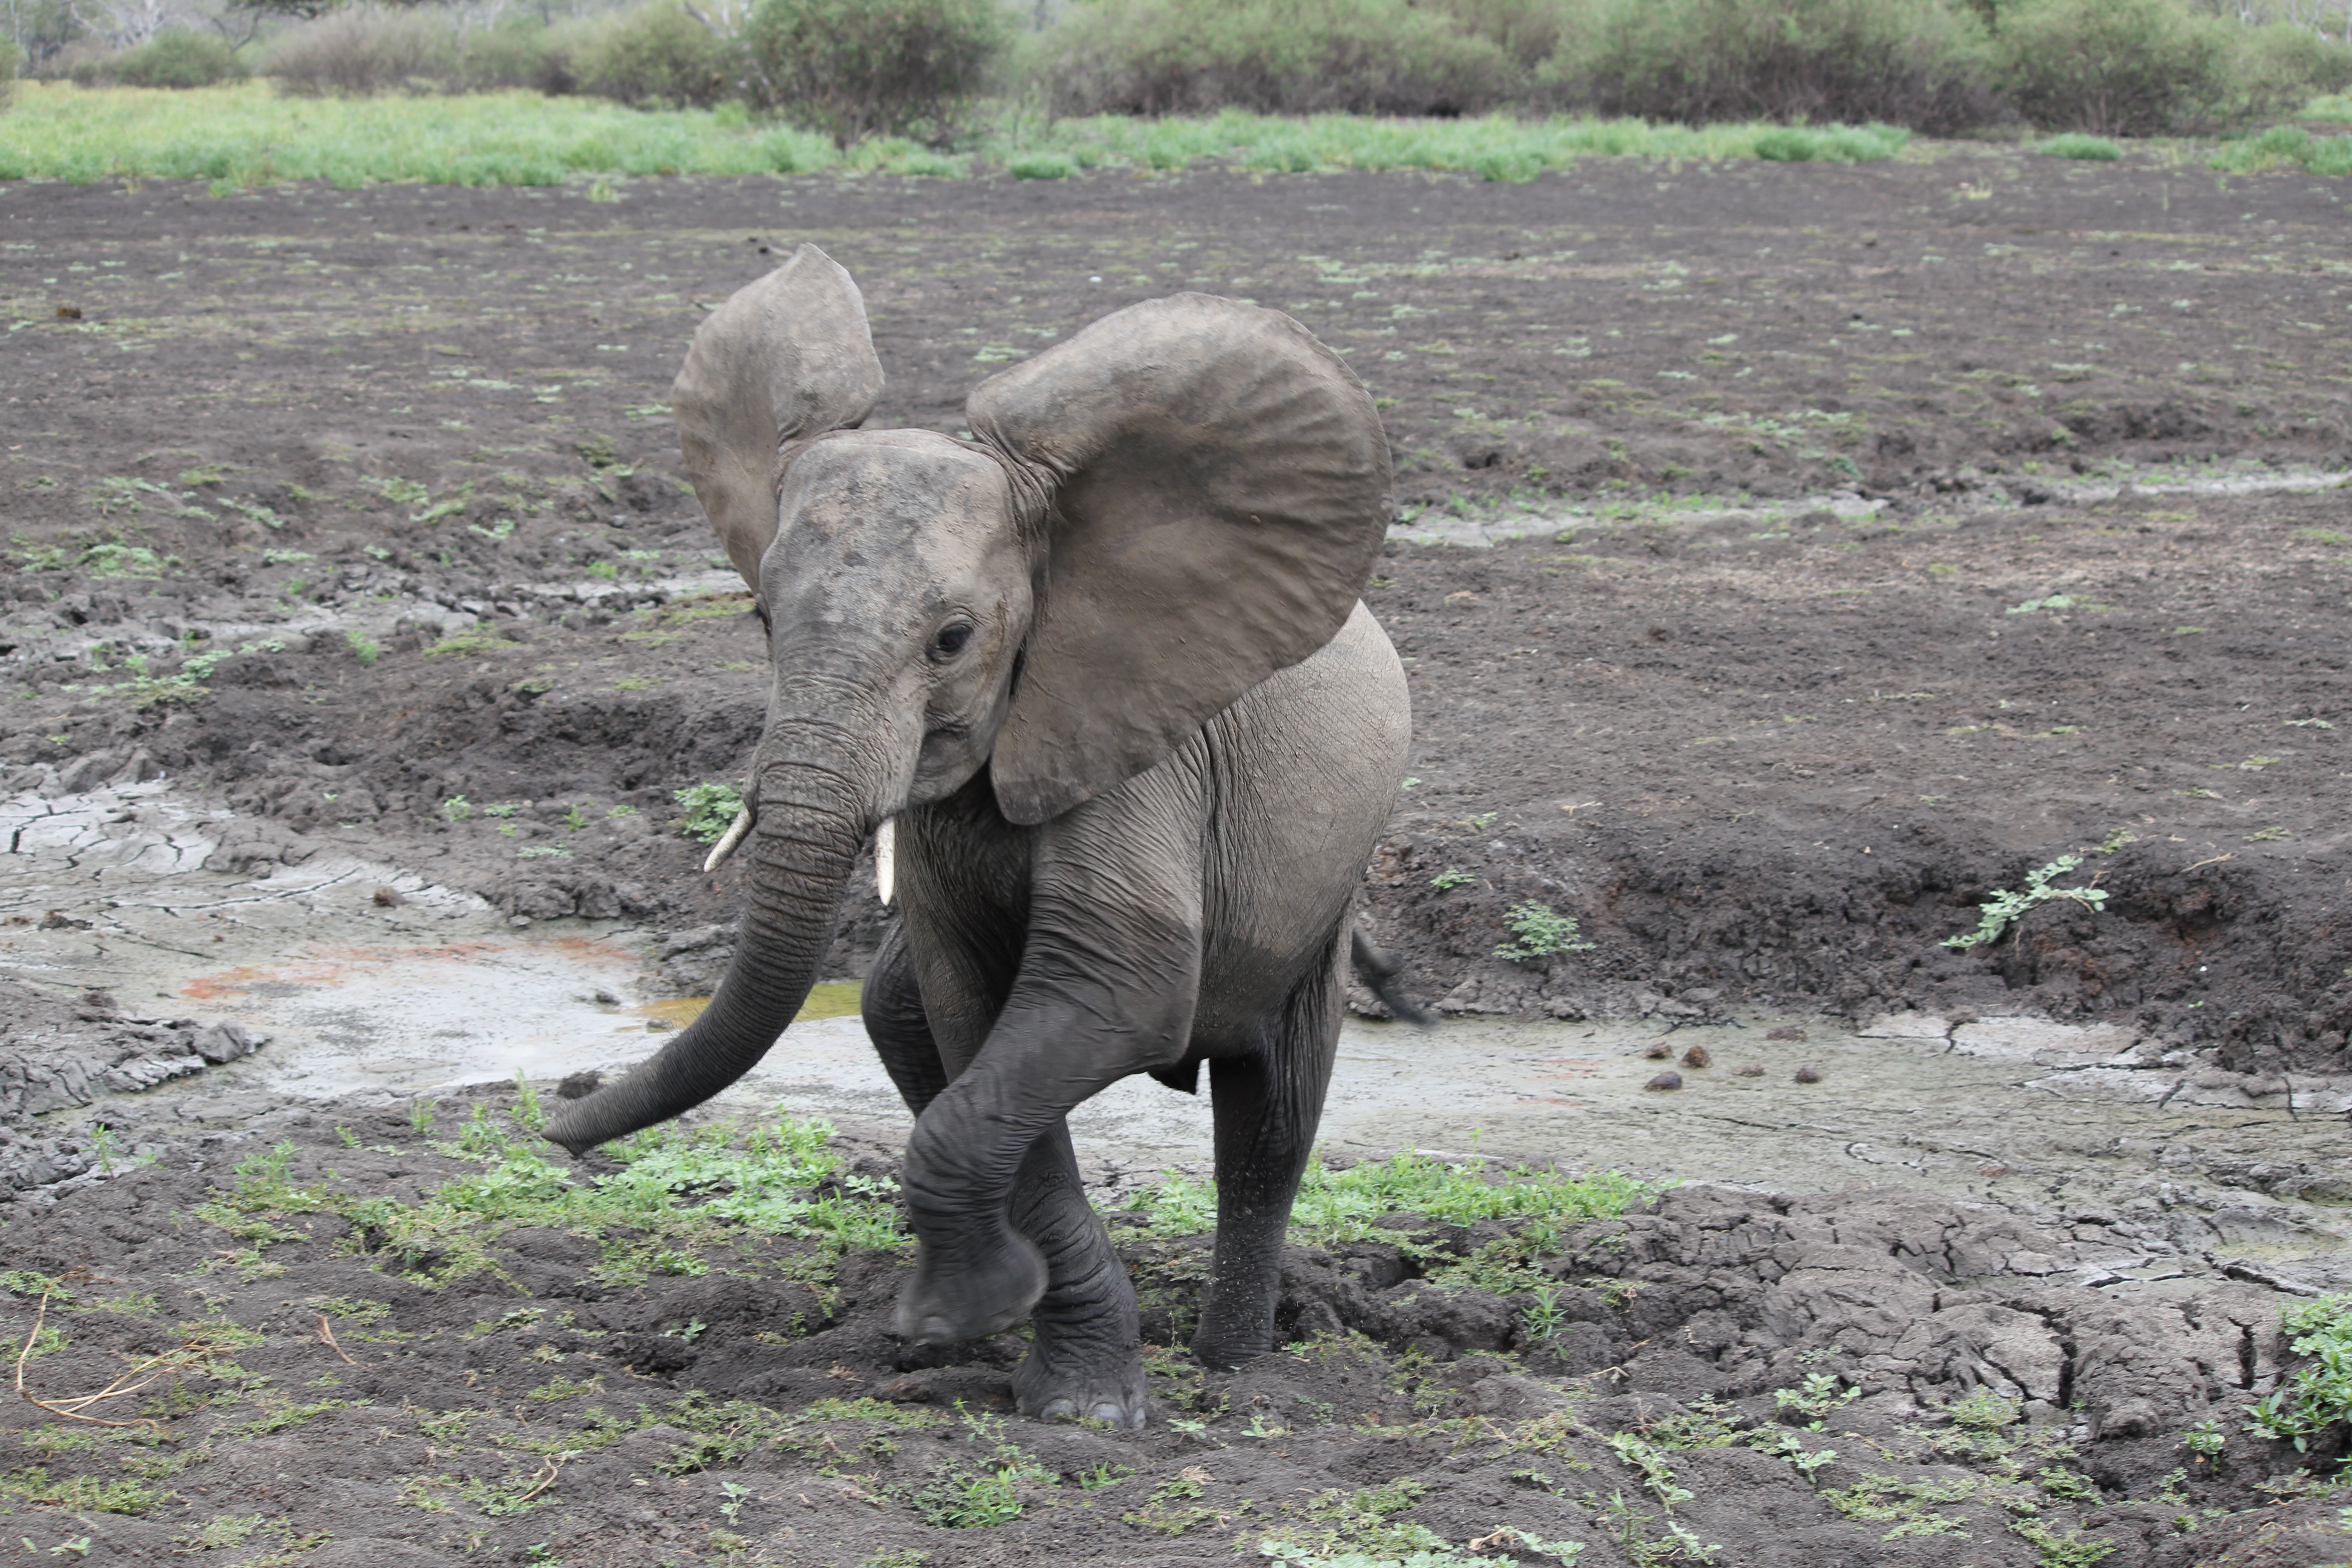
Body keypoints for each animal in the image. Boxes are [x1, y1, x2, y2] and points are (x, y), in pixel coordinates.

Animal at [544, 244, 1419, 1428]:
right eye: (765, 620)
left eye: (953, 640)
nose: (559, 1103)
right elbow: (976, 1038)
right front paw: (1037, 1357)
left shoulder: (1129, 742)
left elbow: (1119, 990)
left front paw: (987, 1336)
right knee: (903, 1020)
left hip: (1321, 886)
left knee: (1270, 1121)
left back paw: (1236, 1367)